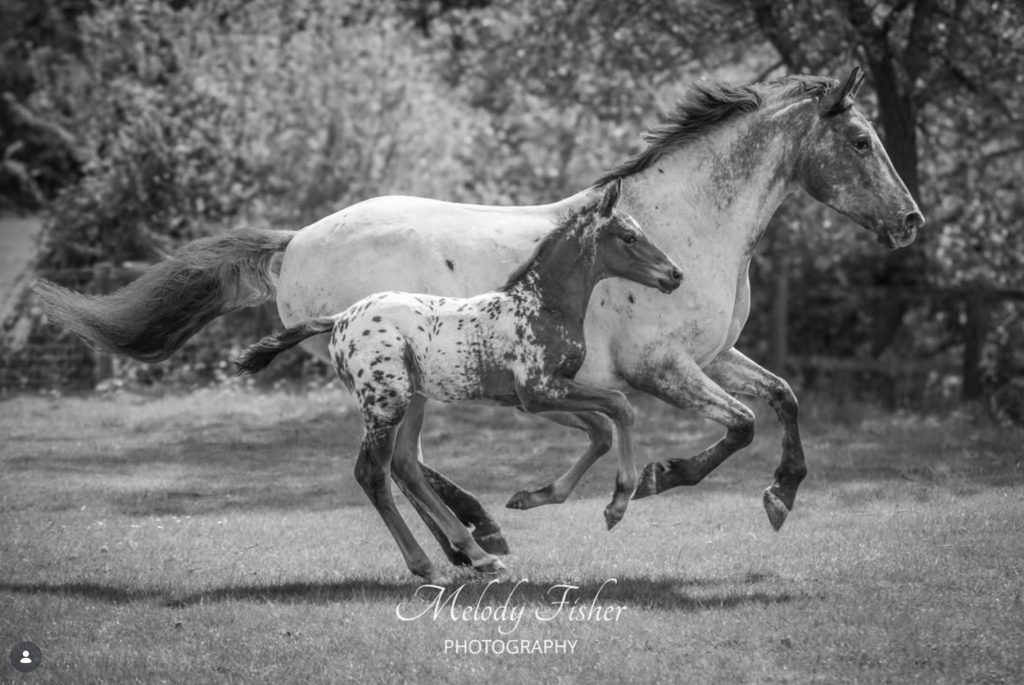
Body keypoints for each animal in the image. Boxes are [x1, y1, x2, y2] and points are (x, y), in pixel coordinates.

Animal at [232, 182, 682, 582]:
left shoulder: (537, 397)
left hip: (414, 400)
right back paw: (429, 565)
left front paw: (530, 497)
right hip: (386, 403)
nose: (675, 274)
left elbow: (603, 429)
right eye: (629, 236)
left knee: (405, 464)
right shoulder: (539, 390)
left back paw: (479, 556)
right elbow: (620, 408)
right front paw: (618, 503)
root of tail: (341, 318)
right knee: (373, 474)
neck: (541, 304)